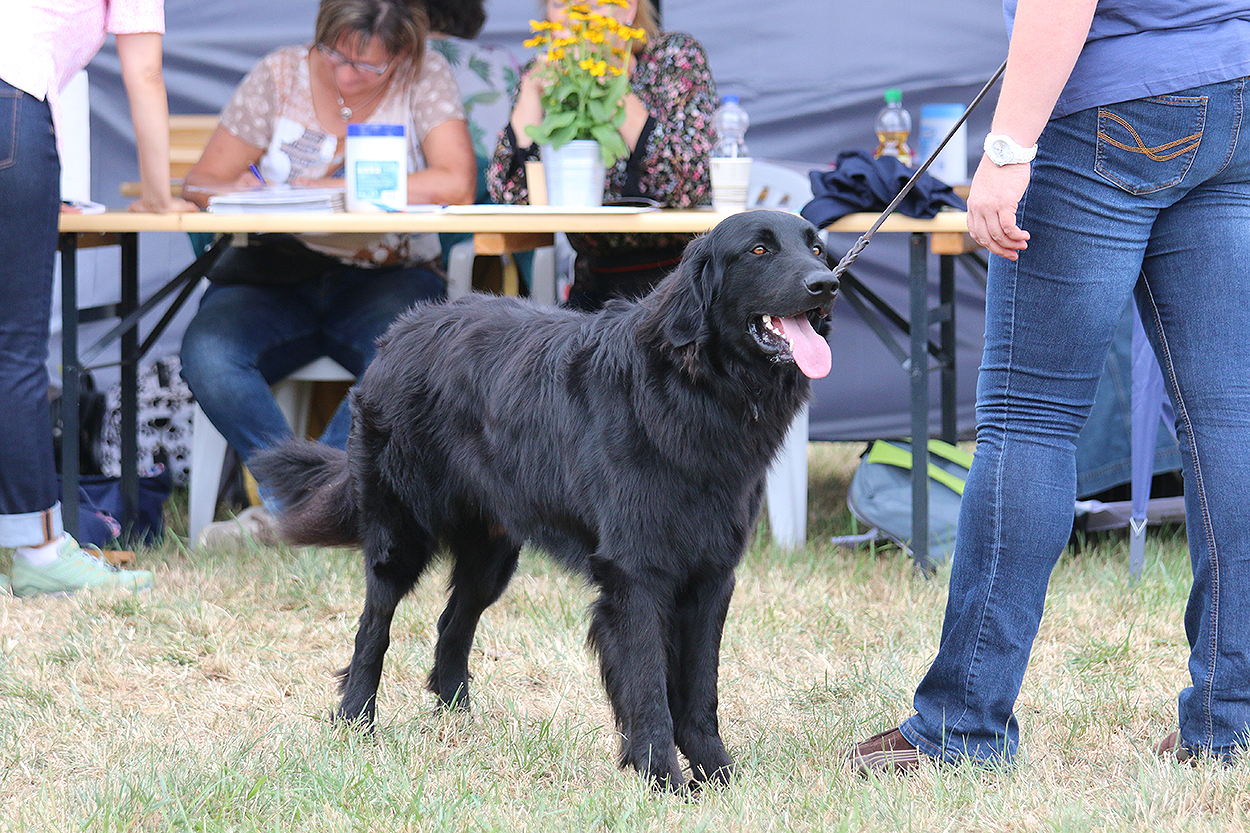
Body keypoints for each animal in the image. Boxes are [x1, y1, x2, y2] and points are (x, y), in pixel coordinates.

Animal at [250, 210, 838, 790]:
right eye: (759, 250)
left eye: (817, 248)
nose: (827, 284)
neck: (694, 387)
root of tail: (400, 331)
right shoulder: (636, 574)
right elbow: (649, 685)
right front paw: (662, 777)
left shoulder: (712, 574)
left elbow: (699, 691)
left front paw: (716, 778)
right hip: (401, 536)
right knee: (374, 627)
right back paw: (356, 721)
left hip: (492, 552)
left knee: (452, 625)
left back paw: (458, 725)